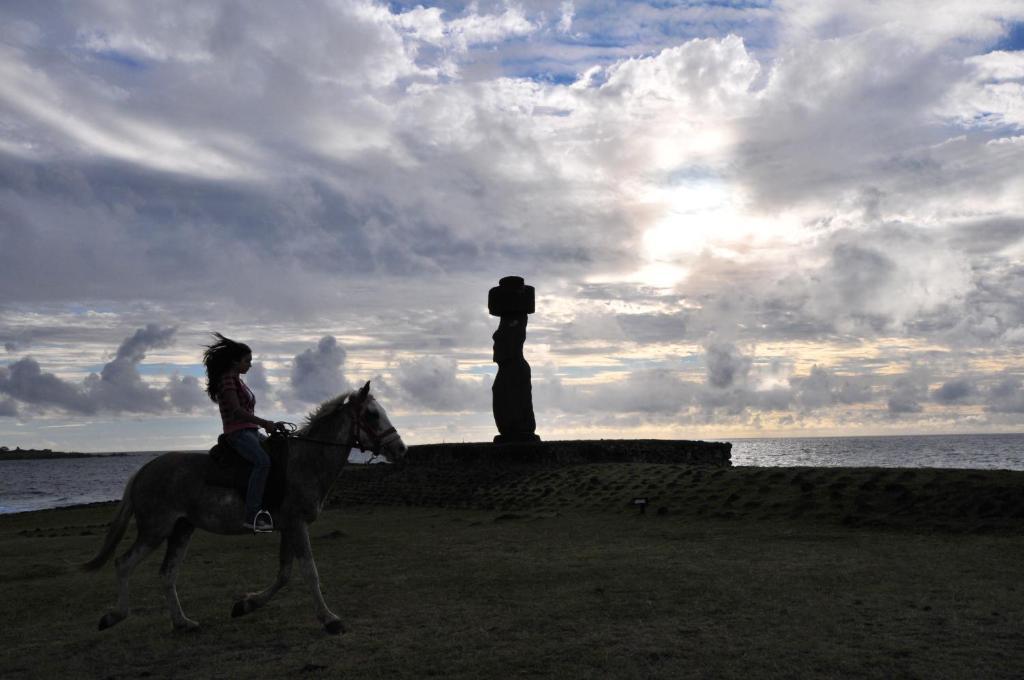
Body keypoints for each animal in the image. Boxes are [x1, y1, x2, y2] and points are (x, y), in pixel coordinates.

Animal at [79, 378, 403, 634]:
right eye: (372, 415)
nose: (400, 449)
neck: (306, 461)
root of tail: (144, 469)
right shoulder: (296, 524)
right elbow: (309, 572)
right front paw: (330, 619)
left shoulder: (288, 527)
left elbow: (284, 574)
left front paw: (246, 604)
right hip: (155, 530)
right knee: (124, 563)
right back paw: (114, 616)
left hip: (182, 529)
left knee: (167, 573)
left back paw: (183, 623)